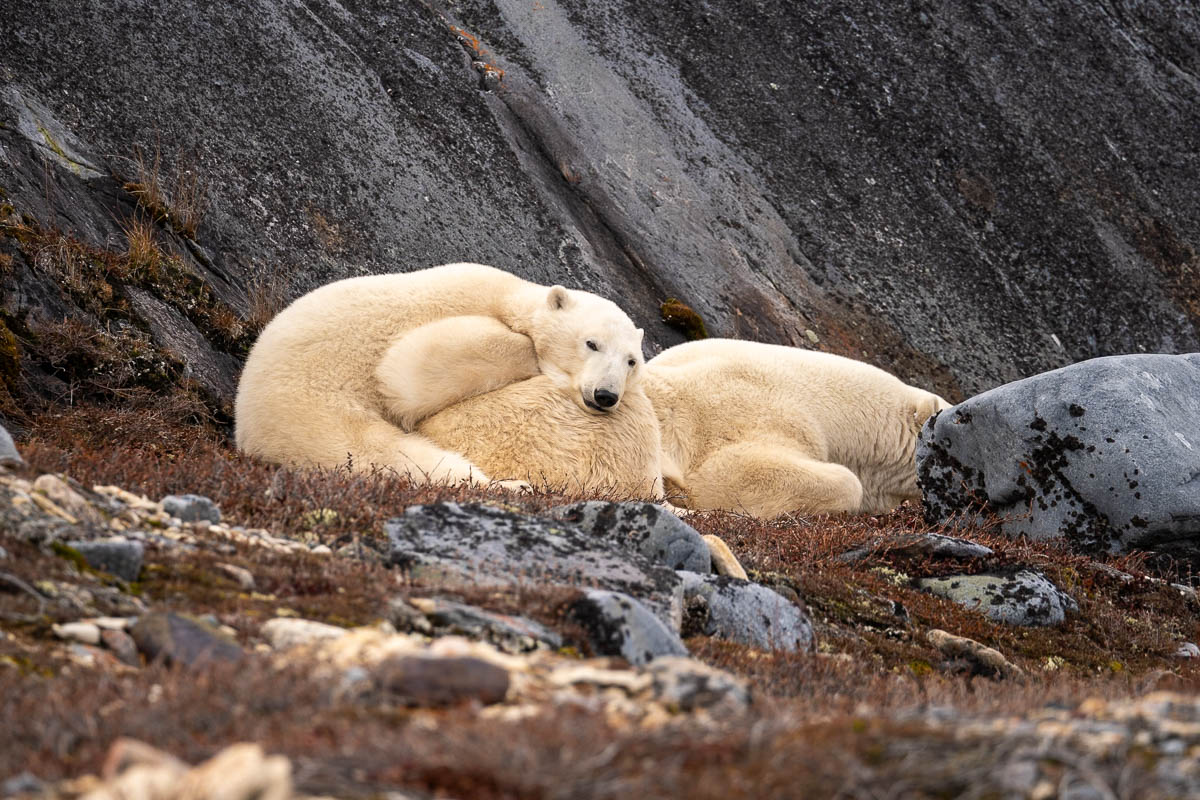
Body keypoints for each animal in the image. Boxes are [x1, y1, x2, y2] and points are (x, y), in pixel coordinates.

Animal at [232, 263, 648, 489]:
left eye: (632, 361)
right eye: (592, 343)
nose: (606, 395)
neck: (509, 295)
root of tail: (247, 434)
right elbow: (405, 370)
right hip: (325, 423)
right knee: (408, 461)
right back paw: (516, 485)